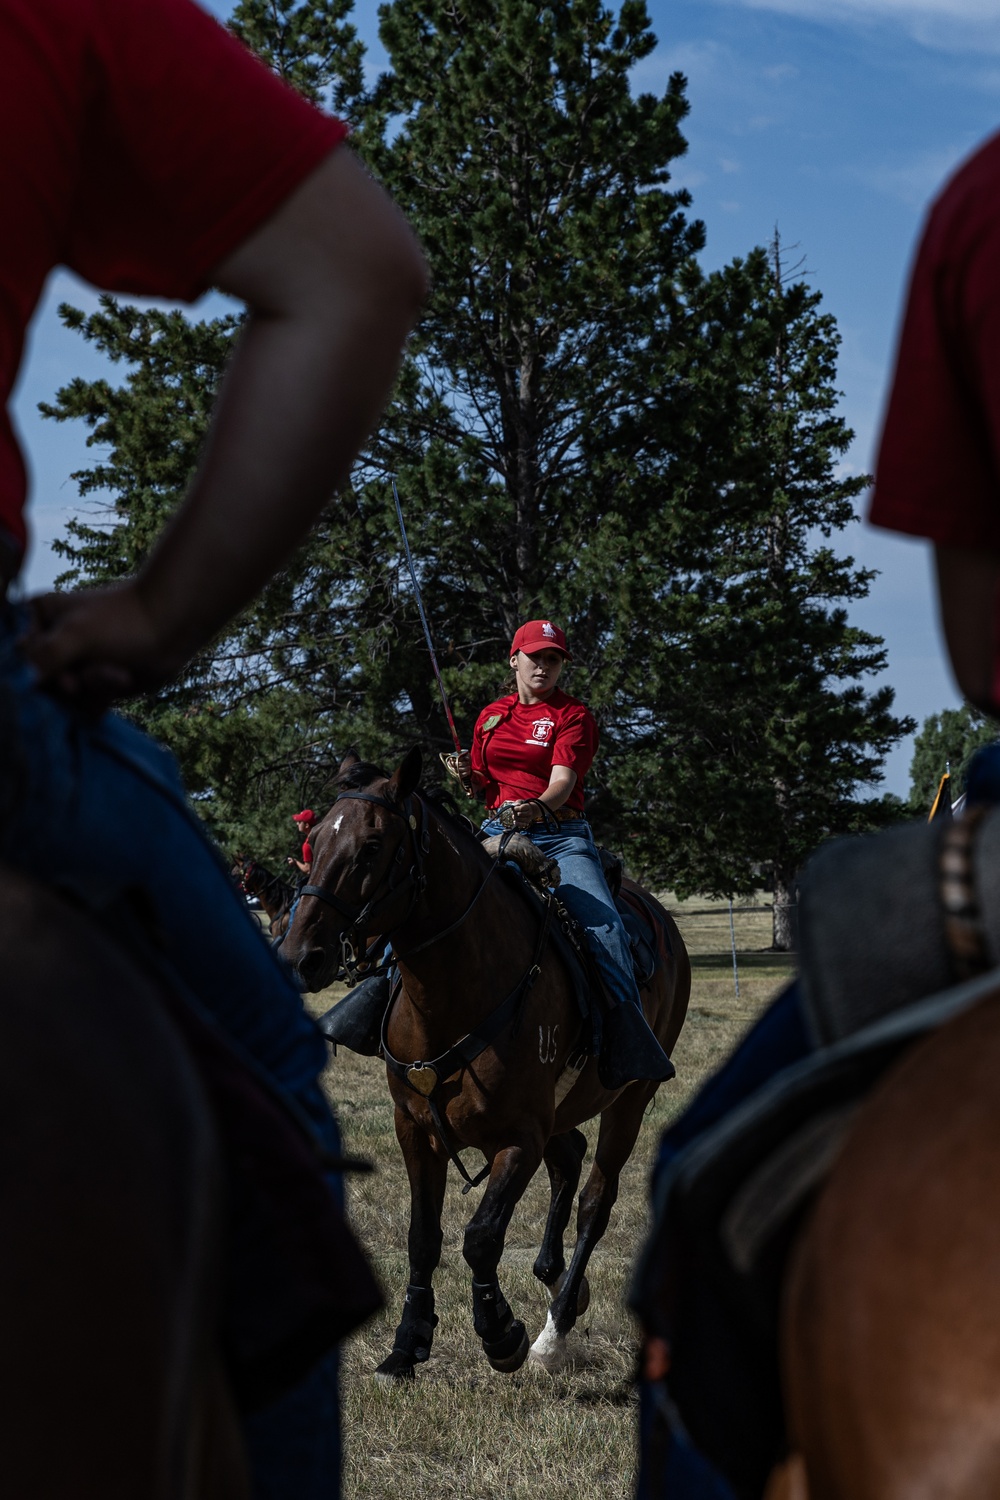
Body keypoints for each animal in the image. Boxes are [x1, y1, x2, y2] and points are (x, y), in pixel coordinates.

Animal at [280, 750, 689, 1380]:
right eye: (316, 839)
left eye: (372, 846)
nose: (300, 956)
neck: (457, 990)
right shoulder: (414, 1129)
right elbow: (423, 1237)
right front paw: (407, 1344)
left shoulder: (519, 1137)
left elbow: (480, 1235)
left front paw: (501, 1333)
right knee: (569, 1160)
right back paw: (556, 1278)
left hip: (630, 1100)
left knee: (595, 1200)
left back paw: (555, 1328)